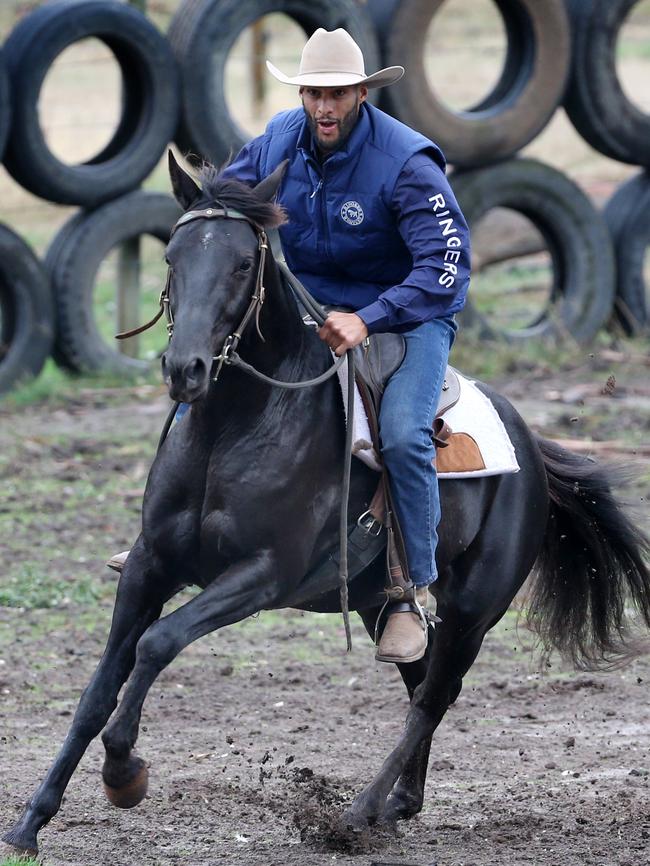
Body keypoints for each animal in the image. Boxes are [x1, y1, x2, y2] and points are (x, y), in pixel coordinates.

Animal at [5, 154, 648, 852]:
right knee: (420, 679)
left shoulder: (261, 575)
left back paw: (358, 812)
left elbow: (157, 645)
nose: (185, 369)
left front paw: (125, 772)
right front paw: (30, 822)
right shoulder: (150, 565)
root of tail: (531, 443)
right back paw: (400, 803)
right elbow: (98, 691)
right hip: (378, 603)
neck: (233, 426)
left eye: (242, 263)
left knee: (434, 697)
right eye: (172, 256)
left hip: (475, 606)